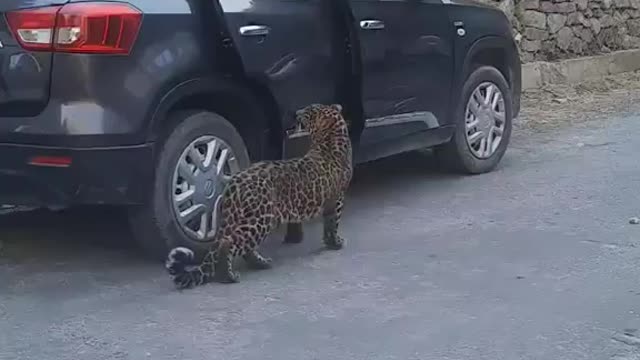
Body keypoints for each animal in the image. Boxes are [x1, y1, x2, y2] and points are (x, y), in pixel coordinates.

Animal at [165, 102, 352, 288]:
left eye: (309, 111)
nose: (296, 113)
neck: (329, 139)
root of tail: (235, 182)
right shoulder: (338, 198)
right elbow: (333, 223)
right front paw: (336, 243)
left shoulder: (330, 201)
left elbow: (328, 224)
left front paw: (330, 242)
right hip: (261, 218)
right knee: (229, 243)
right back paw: (229, 276)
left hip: (248, 217)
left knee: (240, 246)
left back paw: (261, 263)